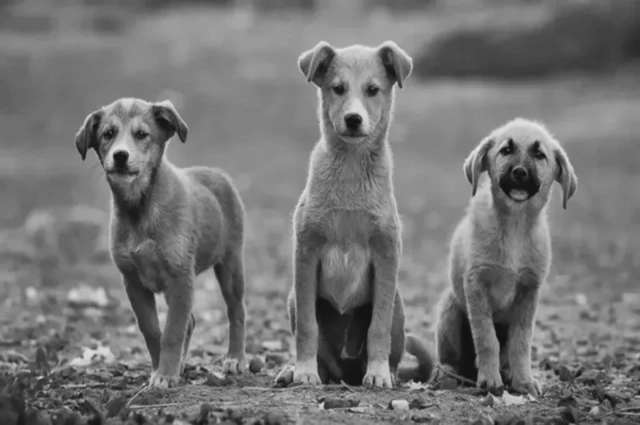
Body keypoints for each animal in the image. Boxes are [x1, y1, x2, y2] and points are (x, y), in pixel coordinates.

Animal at [73, 97, 248, 388]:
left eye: (142, 134)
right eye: (108, 134)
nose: (120, 156)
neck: (140, 209)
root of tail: (217, 173)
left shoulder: (180, 278)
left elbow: (173, 331)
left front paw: (165, 375)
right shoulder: (133, 282)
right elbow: (153, 331)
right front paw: (161, 369)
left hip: (230, 264)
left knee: (236, 311)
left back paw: (235, 359)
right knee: (191, 321)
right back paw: (182, 364)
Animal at [276, 40, 432, 388]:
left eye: (373, 90)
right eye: (338, 88)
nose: (353, 119)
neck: (349, 168)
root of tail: (345, 371)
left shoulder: (386, 255)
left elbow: (378, 328)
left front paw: (377, 373)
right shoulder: (306, 252)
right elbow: (307, 328)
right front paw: (304, 371)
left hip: (398, 302)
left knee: (390, 346)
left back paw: (385, 371)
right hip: (293, 298)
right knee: (323, 356)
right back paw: (300, 371)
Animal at [436, 117, 580, 394]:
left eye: (539, 154)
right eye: (506, 150)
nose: (520, 172)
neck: (515, 224)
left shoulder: (529, 291)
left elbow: (520, 342)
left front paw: (524, 380)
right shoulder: (476, 285)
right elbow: (486, 338)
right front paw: (490, 379)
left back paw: (507, 372)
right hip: (450, 309)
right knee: (450, 357)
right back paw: (450, 373)